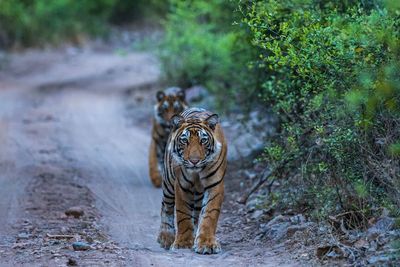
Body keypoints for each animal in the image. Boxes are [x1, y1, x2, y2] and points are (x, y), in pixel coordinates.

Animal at [156, 107, 227, 255]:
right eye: (185, 141)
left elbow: (209, 214)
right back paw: (166, 237)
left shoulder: (215, 185)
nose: (194, 161)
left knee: (196, 212)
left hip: (198, 193)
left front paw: (206, 243)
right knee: (166, 206)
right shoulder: (182, 185)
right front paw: (183, 243)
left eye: (203, 140)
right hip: (168, 183)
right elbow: (182, 214)